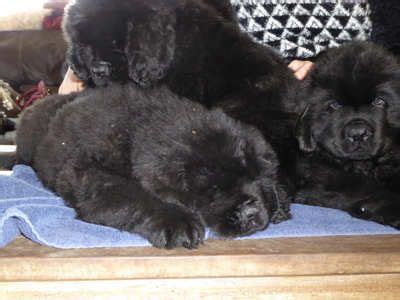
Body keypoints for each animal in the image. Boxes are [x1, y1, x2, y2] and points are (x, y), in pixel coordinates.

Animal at [16, 84, 290, 248]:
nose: (248, 213)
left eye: (255, 177)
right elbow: (133, 195)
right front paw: (178, 223)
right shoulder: (90, 172)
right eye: (212, 192)